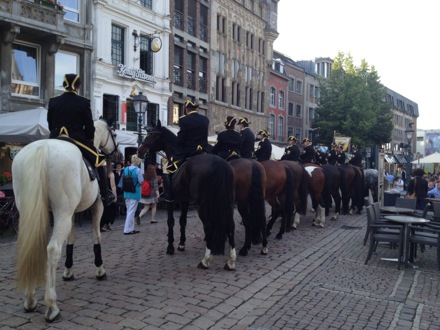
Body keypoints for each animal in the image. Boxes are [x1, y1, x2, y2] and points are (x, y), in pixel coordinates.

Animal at [12, 119, 117, 322]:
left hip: (35, 213)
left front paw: (68, 271)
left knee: (32, 246)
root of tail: (42, 148)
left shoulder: (72, 213)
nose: (117, 154)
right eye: (114, 134)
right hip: (62, 212)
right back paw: (51, 306)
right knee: (53, 250)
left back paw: (30, 300)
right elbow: (96, 236)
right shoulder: (96, 206)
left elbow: (71, 240)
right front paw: (100, 269)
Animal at [138, 121, 237, 270]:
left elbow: (171, 221)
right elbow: (182, 221)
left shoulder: (170, 199)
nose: (139, 151)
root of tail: (218, 163)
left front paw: (170, 247)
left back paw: (205, 260)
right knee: (230, 225)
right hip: (227, 201)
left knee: (208, 225)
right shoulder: (184, 200)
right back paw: (231, 261)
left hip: (202, 203)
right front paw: (181, 244)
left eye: (152, 135)